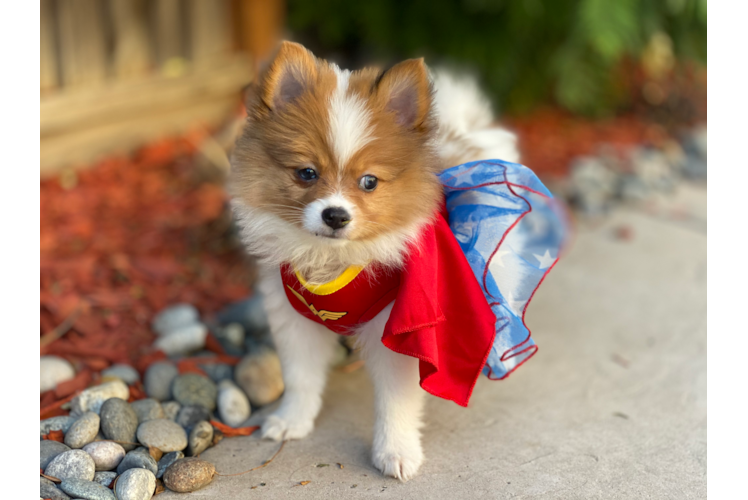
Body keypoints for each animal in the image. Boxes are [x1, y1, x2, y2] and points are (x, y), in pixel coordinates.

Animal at [231, 40, 516, 480]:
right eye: (306, 173)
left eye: (369, 182)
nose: (335, 215)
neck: (334, 260)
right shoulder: (295, 319)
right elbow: (300, 378)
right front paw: (293, 420)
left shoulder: (401, 327)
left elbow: (396, 401)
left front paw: (395, 451)